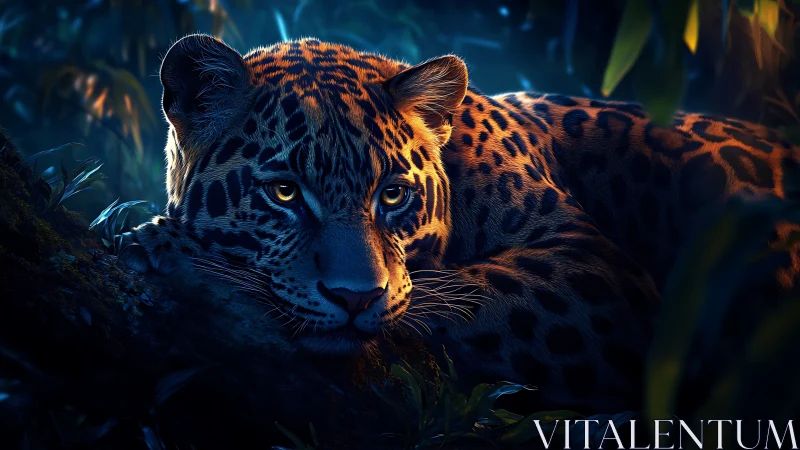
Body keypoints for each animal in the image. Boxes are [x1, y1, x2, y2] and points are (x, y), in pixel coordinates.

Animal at [119, 33, 800, 413]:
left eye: (392, 195)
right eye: (285, 192)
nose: (353, 298)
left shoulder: (593, 269)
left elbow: (456, 296)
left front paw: (170, 245)